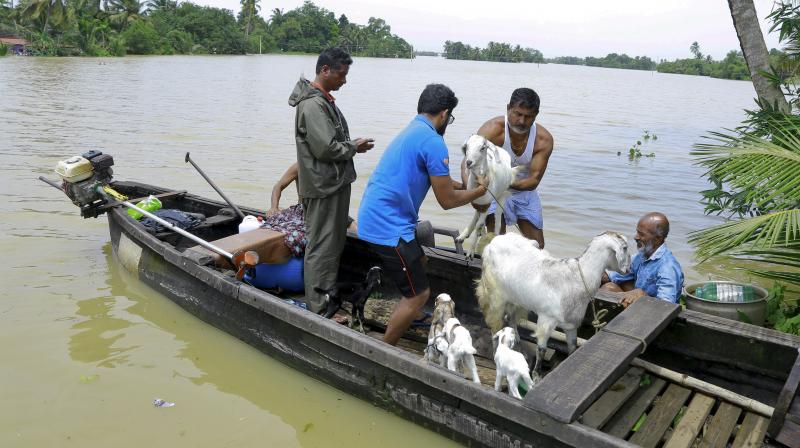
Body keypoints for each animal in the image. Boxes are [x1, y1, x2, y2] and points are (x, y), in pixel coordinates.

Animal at [476, 233, 632, 376]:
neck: (576, 277)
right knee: (495, 325)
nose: (629, 270)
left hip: (515, 297)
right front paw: (536, 376)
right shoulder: (546, 320)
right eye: (624, 248)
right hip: (495, 295)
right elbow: (541, 350)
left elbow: (572, 346)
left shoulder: (571, 324)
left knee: (511, 318)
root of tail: (493, 242)